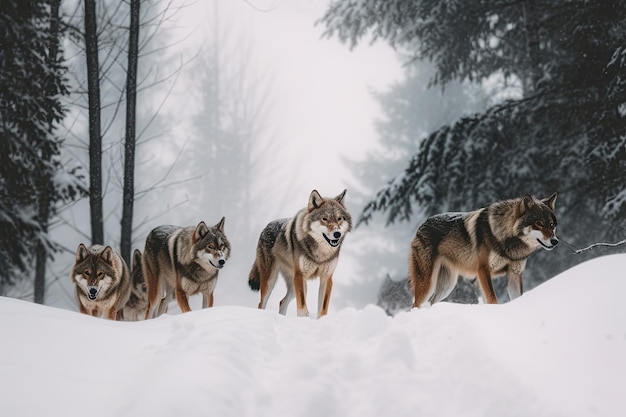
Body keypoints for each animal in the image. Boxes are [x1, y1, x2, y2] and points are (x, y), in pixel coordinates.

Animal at [408, 193, 560, 308]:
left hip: (447, 286)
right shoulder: (483, 270)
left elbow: (517, 296)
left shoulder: (514, 273)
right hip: (427, 283)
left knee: (431, 302)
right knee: (416, 304)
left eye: (551, 225)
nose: (555, 241)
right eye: (539, 224)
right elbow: (492, 299)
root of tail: (422, 224)